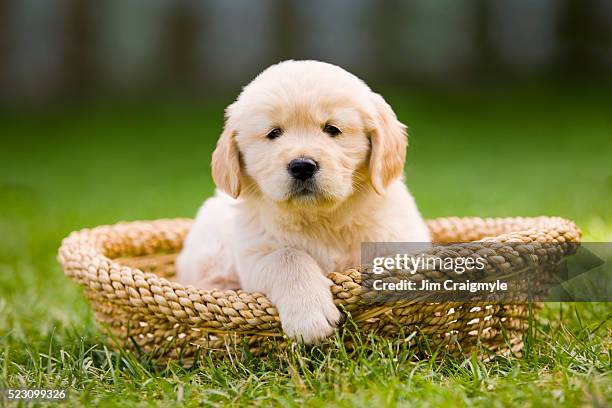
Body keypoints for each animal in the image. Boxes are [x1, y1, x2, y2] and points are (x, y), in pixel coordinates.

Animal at [177, 59, 430, 342]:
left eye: (332, 129)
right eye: (274, 133)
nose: (302, 166)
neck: (322, 219)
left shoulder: (399, 238)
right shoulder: (255, 252)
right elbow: (287, 257)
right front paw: (309, 316)